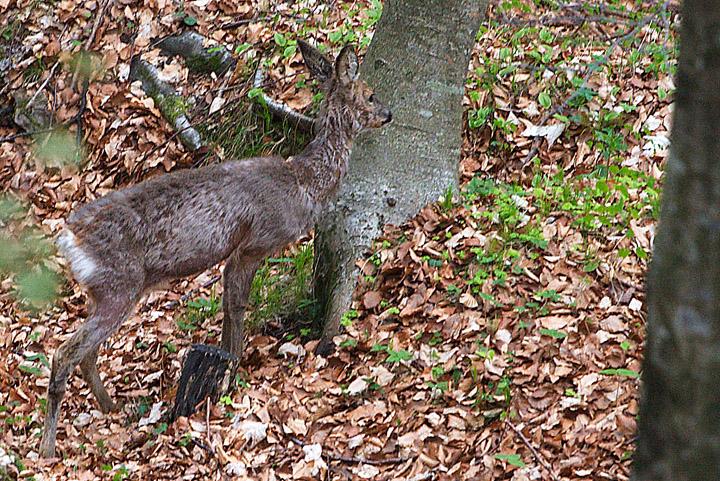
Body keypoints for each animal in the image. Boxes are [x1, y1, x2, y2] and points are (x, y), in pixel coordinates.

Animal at [40, 42, 394, 458]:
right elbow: (238, 305)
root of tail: (68, 238)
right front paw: (234, 370)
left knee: (87, 353)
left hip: (107, 292)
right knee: (65, 353)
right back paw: (48, 448)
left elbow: (227, 305)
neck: (304, 183)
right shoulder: (256, 243)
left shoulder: (238, 251)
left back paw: (113, 408)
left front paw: (227, 367)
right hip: (118, 286)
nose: (388, 113)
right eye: (369, 94)